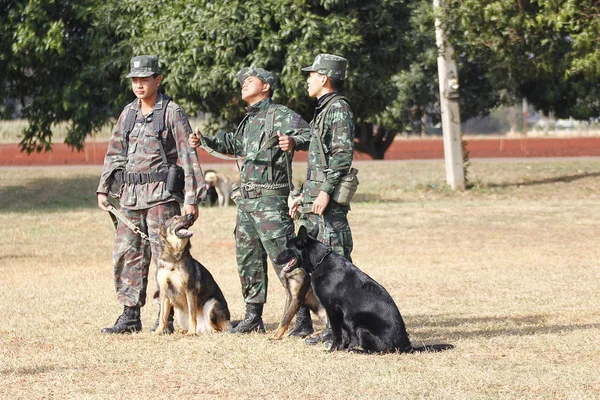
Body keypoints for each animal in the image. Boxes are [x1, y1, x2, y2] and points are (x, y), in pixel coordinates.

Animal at [274, 225, 452, 354]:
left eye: (287, 248)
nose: (274, 259)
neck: (320, 261)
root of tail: (406, 346)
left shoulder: (333, 310)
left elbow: (337, 333)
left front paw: (333, 350)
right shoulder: (341, 315)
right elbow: (344, 335)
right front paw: (342, 348)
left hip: (359, 324)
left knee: (377, 350)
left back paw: (357, 350)